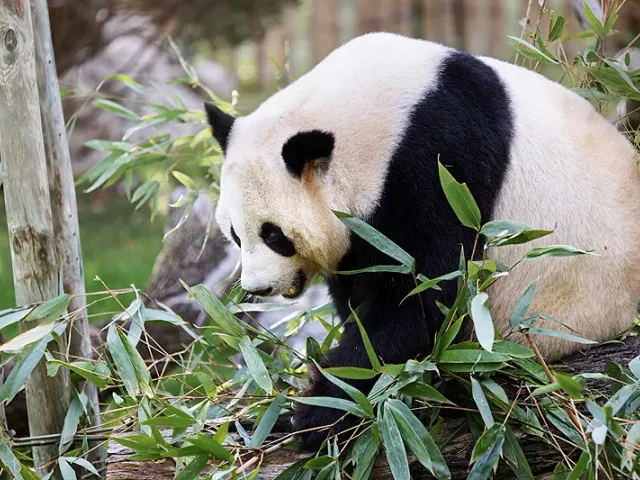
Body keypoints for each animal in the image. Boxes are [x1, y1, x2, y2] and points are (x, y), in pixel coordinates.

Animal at [205, 32, 640, 449]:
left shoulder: (440, 159)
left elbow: (423, 296)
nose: (258, 288)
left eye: (273, 234)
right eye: (235, 234)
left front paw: (317, 410)